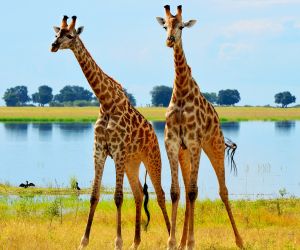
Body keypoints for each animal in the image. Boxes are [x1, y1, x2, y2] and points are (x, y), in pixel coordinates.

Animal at [50, 16, 170, 250]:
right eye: (57, 33)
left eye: (70, 35)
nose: (53, 45)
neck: (106, 102)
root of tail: (154, 133)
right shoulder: (99, 150)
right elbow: (94, 196)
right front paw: (83, 241)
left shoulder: (118, 151)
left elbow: (117, 197)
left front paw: (118, 241)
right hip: (132, 163)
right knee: (139, 194)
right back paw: (136, 242)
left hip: (152, 157)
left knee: (160, 194)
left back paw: (173, 239)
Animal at [157, 5, 244, 250]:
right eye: (165, 26)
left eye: (181, 26)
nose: (169, 40)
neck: (181, 90)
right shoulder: (172, 143)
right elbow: (176, 192)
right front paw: (172, 242)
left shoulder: (194, 142)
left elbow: (195, 192)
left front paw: (192, 242)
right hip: (185, 153)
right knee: (187, 189)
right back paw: (182, 241)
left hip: (214, 145)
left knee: (223, 191)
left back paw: (240, 240)